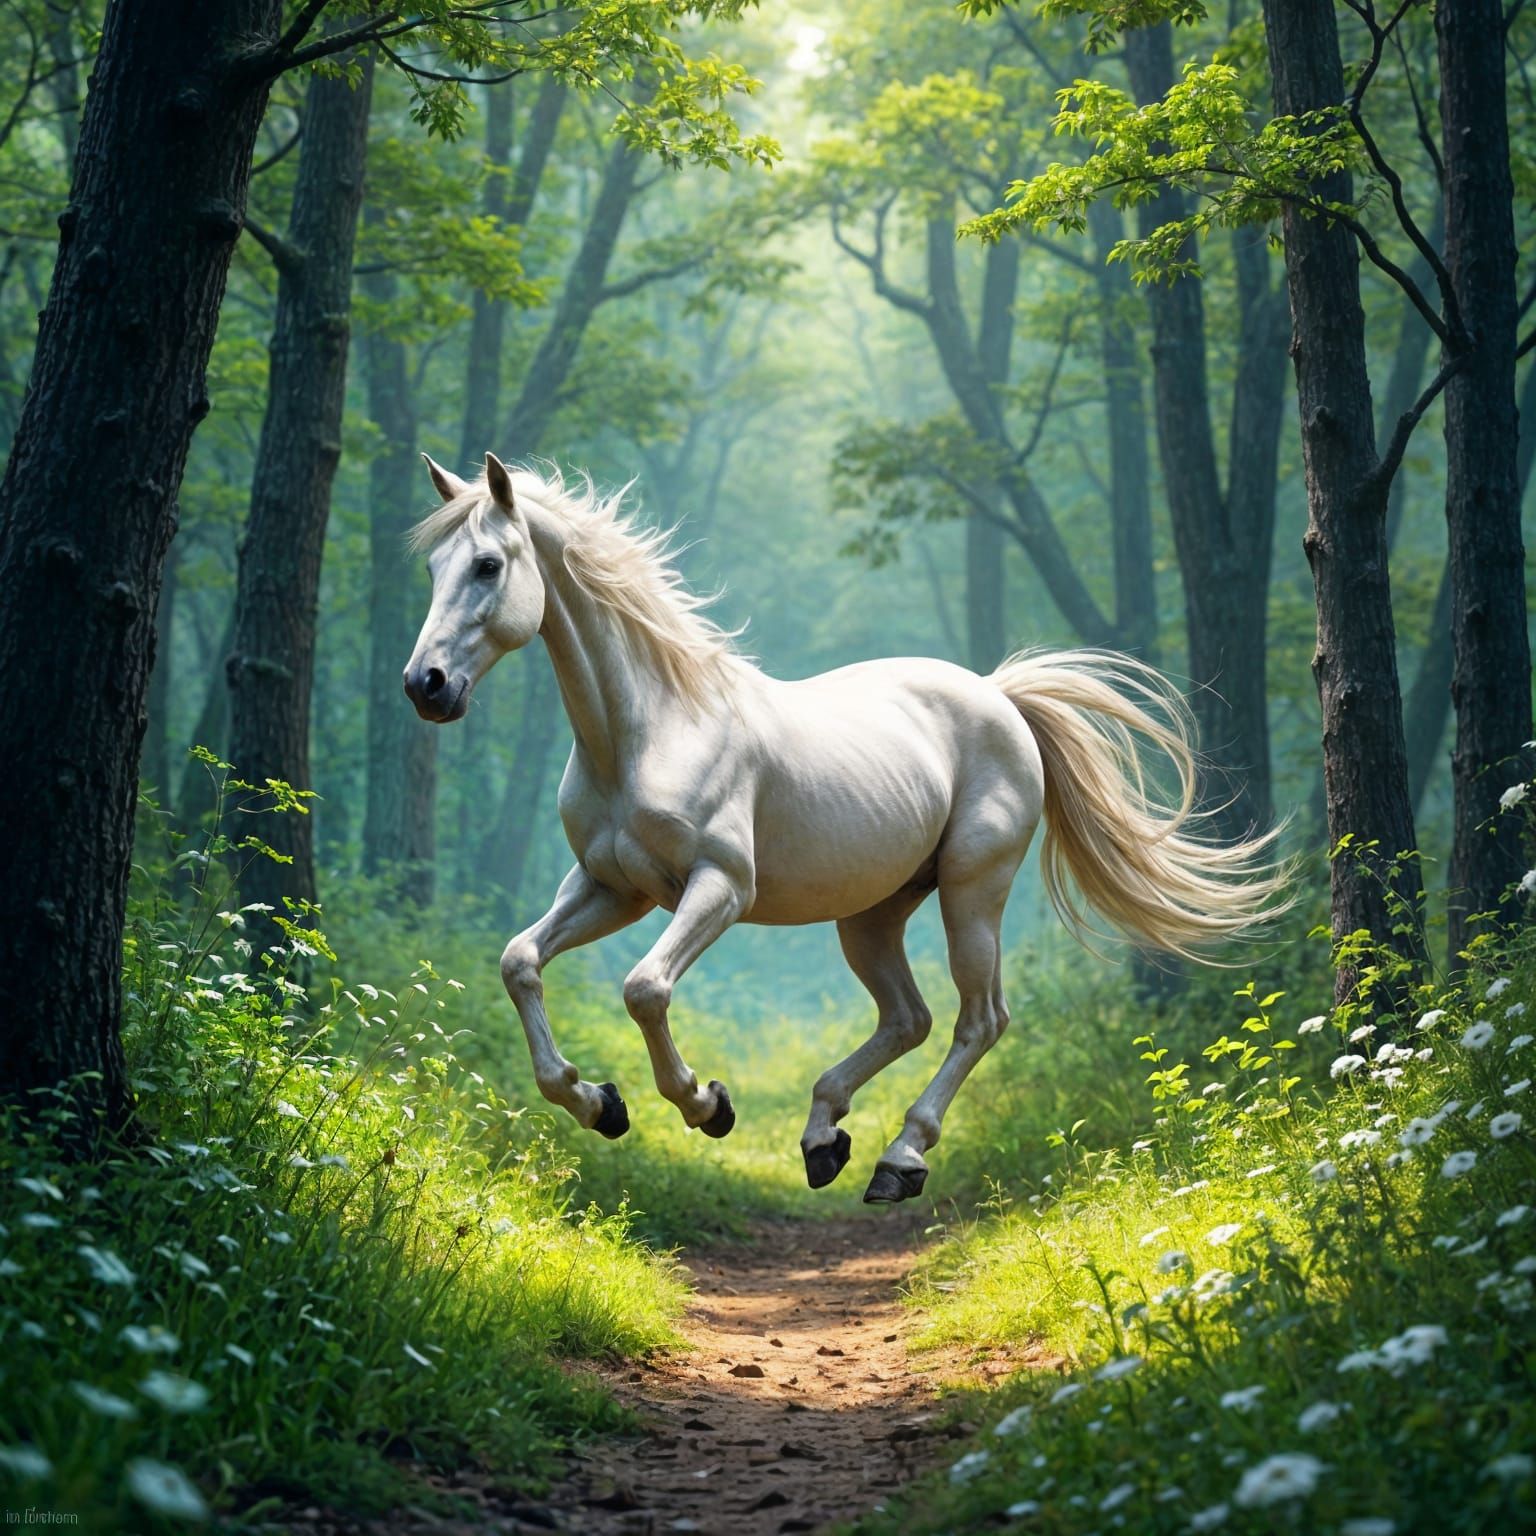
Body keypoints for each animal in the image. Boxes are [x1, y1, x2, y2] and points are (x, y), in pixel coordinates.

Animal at [403, 452, 1286, 1204]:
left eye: (489, 565)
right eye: (434, 567)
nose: (426, 684)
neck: (652, 727)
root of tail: (1000, 696)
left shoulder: (719, 888)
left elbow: (645, 988)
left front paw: (707, 1104)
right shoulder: (611, 888)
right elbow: (521, 962)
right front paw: (599, 1104)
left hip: (973, 890)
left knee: (978, 1020)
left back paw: (900, 1159)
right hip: (872, 913)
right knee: (909, 1018)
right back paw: (824, 1137)